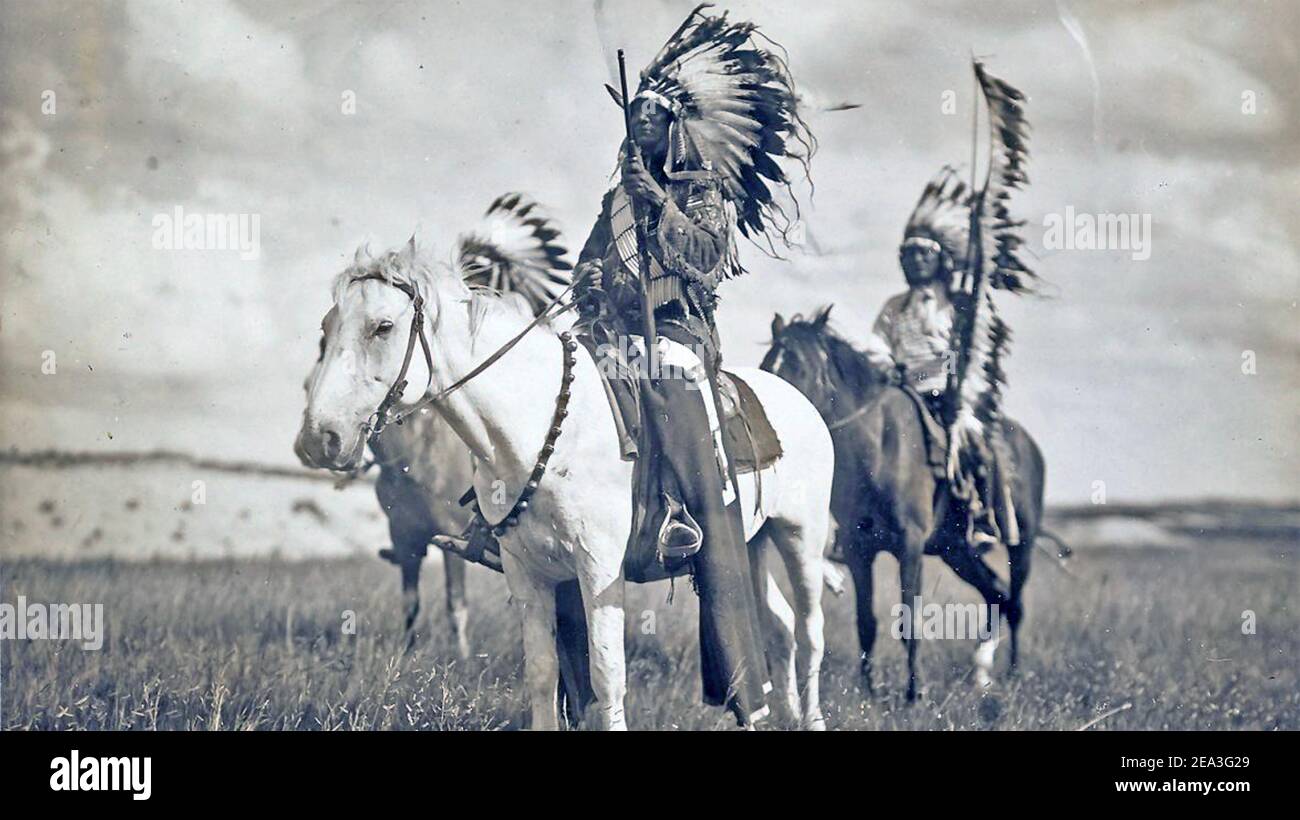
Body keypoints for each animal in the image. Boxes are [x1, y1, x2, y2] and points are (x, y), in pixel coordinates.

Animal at [297, 239, 832, 732]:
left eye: (383, 326)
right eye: (324, 328)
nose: (319, 440)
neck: (540, 427)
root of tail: (800, 401)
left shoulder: (598, 571)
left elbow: (606, 676)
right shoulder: (527, 573)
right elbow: (542, 673)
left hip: (800, 538)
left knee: (810, 633)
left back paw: (811, 718)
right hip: (754, 543)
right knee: (782, 626)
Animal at [759, 305, 1045, 701]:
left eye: (798, 366)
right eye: (767, 365)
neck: (879, 446)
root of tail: (1029, 446)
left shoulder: (909, 546)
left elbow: (910, 618)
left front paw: (913, 694)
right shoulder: (858, 549)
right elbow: (866, 622)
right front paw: (869, 693)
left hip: (1022, 545)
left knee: (1014, 603)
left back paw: (1014, 674)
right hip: (958, 553)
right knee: (997, 595)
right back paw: (981, 675)